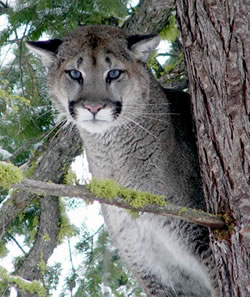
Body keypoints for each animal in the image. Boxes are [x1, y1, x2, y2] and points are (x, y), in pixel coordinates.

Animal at [26, 25, 217, 296]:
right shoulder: (151, 268)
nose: (93, 107)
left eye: (114, 73)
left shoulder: (202, 236)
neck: (114, 162)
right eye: (75, 73)